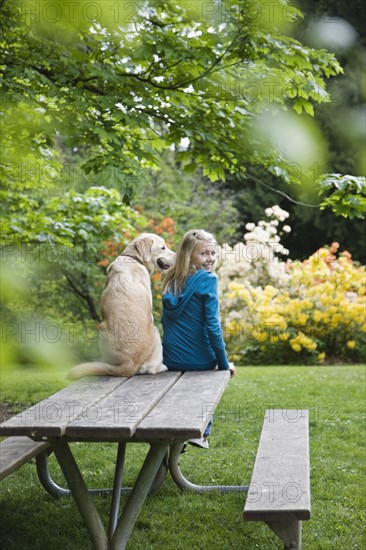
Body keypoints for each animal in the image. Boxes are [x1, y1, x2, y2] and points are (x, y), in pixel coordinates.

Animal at [69, 233, 177, 380]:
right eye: (163, 247)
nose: (177, 256)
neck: (133, 258)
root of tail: (129, 364)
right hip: (155, 332)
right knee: (151, 369)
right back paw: (161, 367)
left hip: (102, 332)